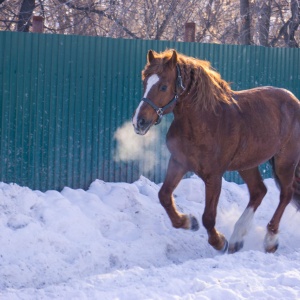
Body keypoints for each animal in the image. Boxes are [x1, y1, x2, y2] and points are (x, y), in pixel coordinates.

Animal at [131, 48, 300, 253]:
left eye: (163, 87)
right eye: (145, 82)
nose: (139, 122)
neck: (204, 121)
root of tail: (295, 101)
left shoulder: (214, 176)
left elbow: (208, 217)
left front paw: (219, 242)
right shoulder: (179, 163)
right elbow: (164, 196)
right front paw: (189, 222)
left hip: (285, 161)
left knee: (285, 194)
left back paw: (270, 239)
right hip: (247, 164)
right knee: (259, 191)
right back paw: (237, 238)